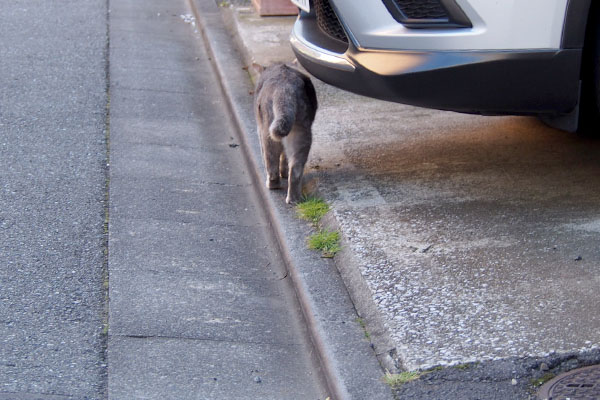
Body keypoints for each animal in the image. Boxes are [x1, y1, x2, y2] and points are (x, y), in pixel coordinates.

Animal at [253, 64, 318, 206]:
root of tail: (285, 90)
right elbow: (284, 157)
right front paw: (284, 172)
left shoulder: (259, 130)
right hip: (301, 133)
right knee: (295, 169)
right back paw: (294, 199)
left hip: (267, 132)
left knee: (271, 163)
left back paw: (272, 184)